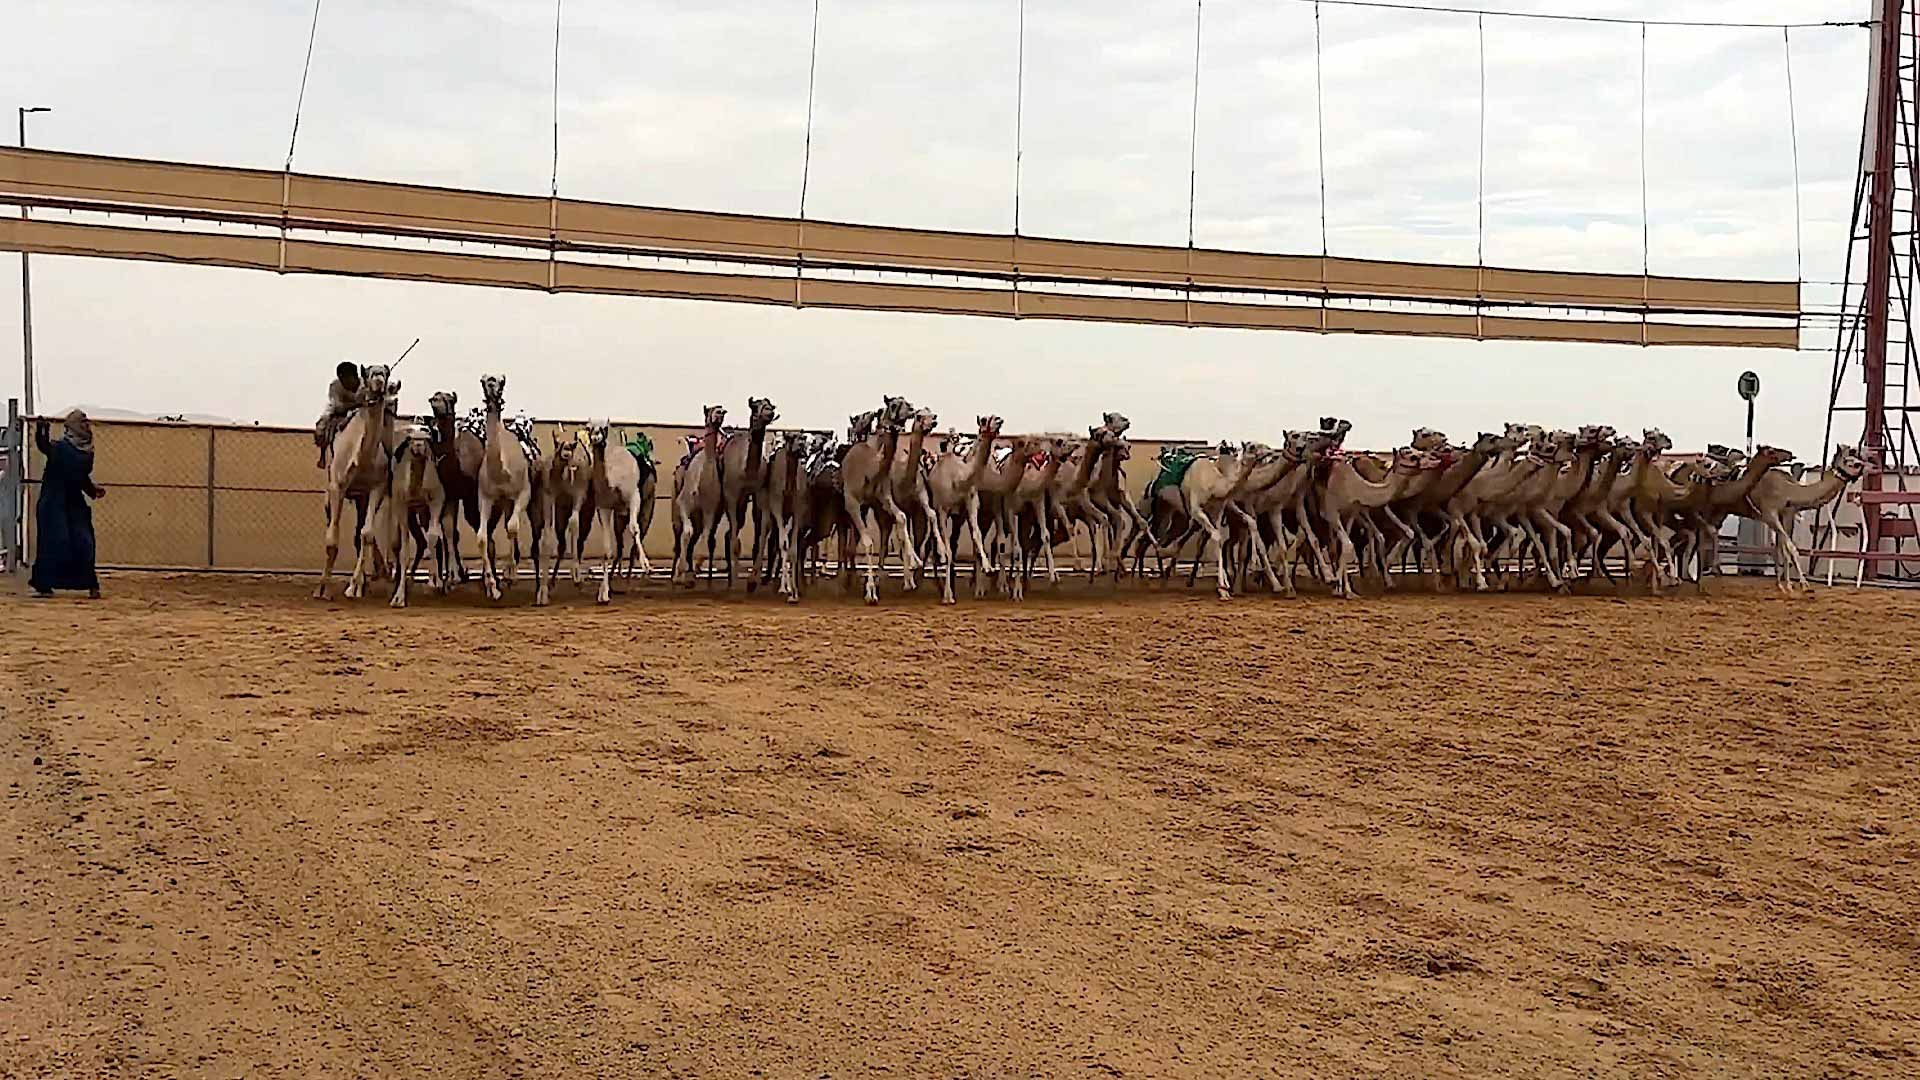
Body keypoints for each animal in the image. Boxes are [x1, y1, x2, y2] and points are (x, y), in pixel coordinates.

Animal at [315, 363, 398, 601]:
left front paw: (355, 586)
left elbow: (366, 534)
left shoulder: (376, 488)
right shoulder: (337, 487)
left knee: (359, 532)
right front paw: (323, 589)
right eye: (368, 372)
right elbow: (332, 539)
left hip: (362, 498)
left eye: (385, 372)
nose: (380, 380)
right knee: (331, 524)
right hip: (330, 494)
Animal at [386, 422, 447, 608]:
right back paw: (406, 577)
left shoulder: (437, 499)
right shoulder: (401, 505)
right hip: (411, 512)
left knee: (428, 538)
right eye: (409, 437)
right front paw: (398, 598)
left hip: (423, 511)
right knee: (404, 542)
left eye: (426, 433)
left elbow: (434, 537)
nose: (418, 445)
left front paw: (435, 582)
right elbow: (403, 550)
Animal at [474, 375, 539, 603]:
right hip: (503, 502)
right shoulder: (485, 497)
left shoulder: (523, 493)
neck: (501, 471)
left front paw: (510, 574)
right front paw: (492, 587)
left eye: (502, 381)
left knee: (514, 524)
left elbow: (512, 527)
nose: (493, 387)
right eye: (484, 380)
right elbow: (482, 538)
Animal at [672, 405, 729, 588]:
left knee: (697, 538)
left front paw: (695, 569)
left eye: (721, 409)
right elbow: (686, 533)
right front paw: (680, 574)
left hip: (699, 517)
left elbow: (705, 536)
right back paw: (675, 574)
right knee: (679, 538)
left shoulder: (710, 511)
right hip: (675, 511)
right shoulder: (683, 504)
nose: (719, 413)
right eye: (709, 409)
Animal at [1743, 443, 1868, 590]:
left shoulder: (1788, 514)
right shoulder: (1770, 514)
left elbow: (1782, 547)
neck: (1788, 491)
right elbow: (1790, 548)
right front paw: (1802, 583)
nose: (1865, 466)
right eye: (1852, 462)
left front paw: (1785, 584)